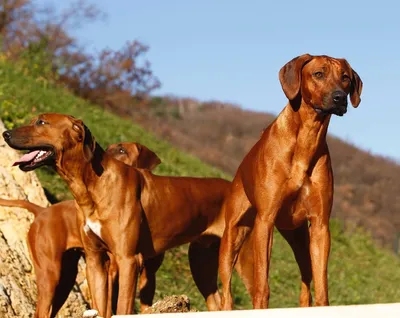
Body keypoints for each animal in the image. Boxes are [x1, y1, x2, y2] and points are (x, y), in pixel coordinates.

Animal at [2, 113, 253, 316]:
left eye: (41, 122)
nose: (5, 133)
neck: (93, 185)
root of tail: (42, 209)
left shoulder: (128, 260)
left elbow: (122, 307)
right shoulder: (96, 261)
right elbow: (103, 307)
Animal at [219, 53, 362, 310]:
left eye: (345, 78)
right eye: (318, 74)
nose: (340, 98)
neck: (306, 139)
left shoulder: (320, 225)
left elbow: (321, 289)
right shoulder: (265, 221)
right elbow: (262, 287)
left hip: (299, 238)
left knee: (306, 284)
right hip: (233, 235)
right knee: (226, 291)